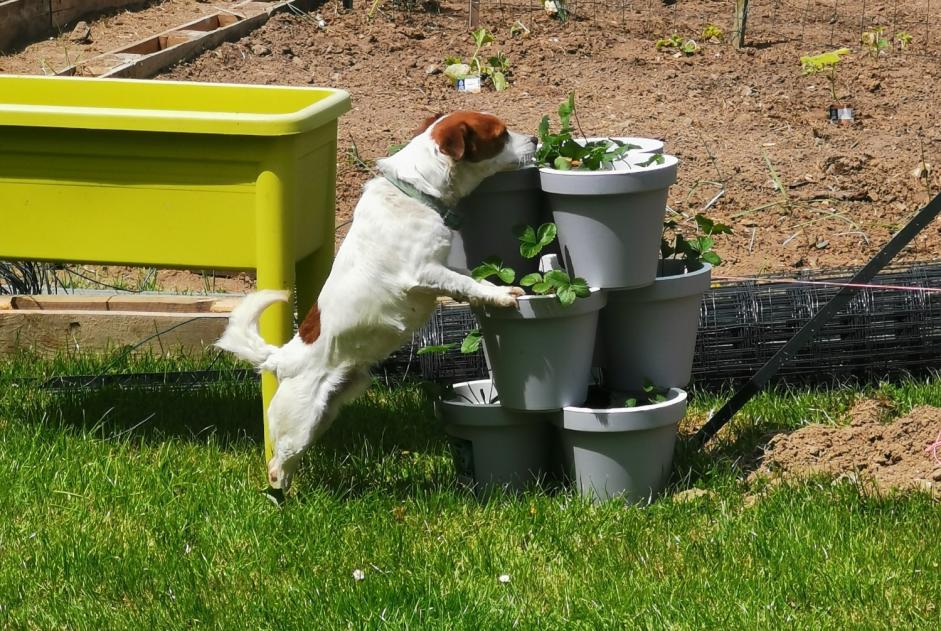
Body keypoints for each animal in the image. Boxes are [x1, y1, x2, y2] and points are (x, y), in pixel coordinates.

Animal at [215, 111, 536, 492]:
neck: (417, 192)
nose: (536, 139)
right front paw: (499, 297)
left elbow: (471, 279)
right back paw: (283, 498)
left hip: (329, 409)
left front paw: (498, 288)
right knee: (277, 466)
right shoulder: (424, 271)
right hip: (300, 422)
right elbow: (465, 281)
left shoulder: (442, 266)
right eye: (501, 135)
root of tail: (281, 359)